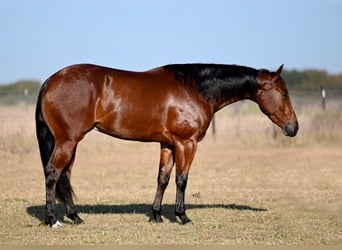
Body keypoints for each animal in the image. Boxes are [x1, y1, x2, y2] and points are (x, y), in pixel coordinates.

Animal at [34, 62, 296, 227]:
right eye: (284, 93)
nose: (293, 127)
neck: (194, 88)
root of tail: (51, 80)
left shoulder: (167, 145)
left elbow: (163, 178)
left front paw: (157, 216)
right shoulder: (186, 143)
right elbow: (182, 180)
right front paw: (183, 216)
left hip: (71, 143)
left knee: (65, 176)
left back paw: (75, 217)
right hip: (67, 141)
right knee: (53, 173)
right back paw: (53, 219)